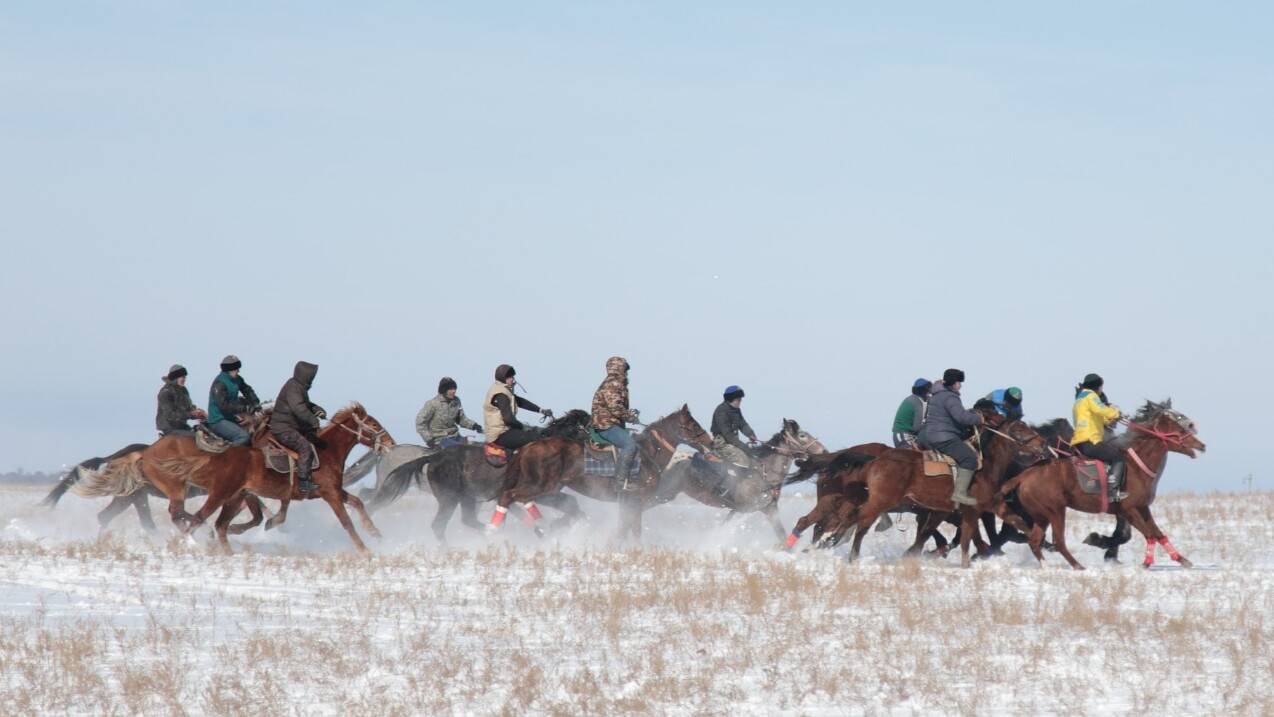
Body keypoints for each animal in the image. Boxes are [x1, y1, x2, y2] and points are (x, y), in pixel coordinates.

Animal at [75, 407, 392, 552]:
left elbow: (358, 504)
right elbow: (346, 520)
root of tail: (142, 454)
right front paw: (365, 549)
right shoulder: (327, 493)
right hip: (174, 491)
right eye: (373, 424)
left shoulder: (330, 491)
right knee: (183, 514)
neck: (325, 453)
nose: (389, 442)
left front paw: (376, 533)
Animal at [486, 407, 713, 542]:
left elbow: (627, 527)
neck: (649, 453)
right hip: (541, 485)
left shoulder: (628, 501)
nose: (710, 442)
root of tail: (528, 446)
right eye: (692, 424)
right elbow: (631, 529)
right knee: (510, 496)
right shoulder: (636, 499)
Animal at [993, 397, 1202, 573]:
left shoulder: (1142, 508)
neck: (1137, 466)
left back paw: (1047, 566)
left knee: (1035, 540)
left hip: (1041, 515)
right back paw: (1077, 566)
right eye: (1179, 424)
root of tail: (1024, 475)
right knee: (1057, 541)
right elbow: (1146, 533)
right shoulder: (1128, 509)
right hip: (1055, 511)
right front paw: (1145, 562)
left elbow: (1157, 533)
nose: (1201, 444)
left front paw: (1182, 560)